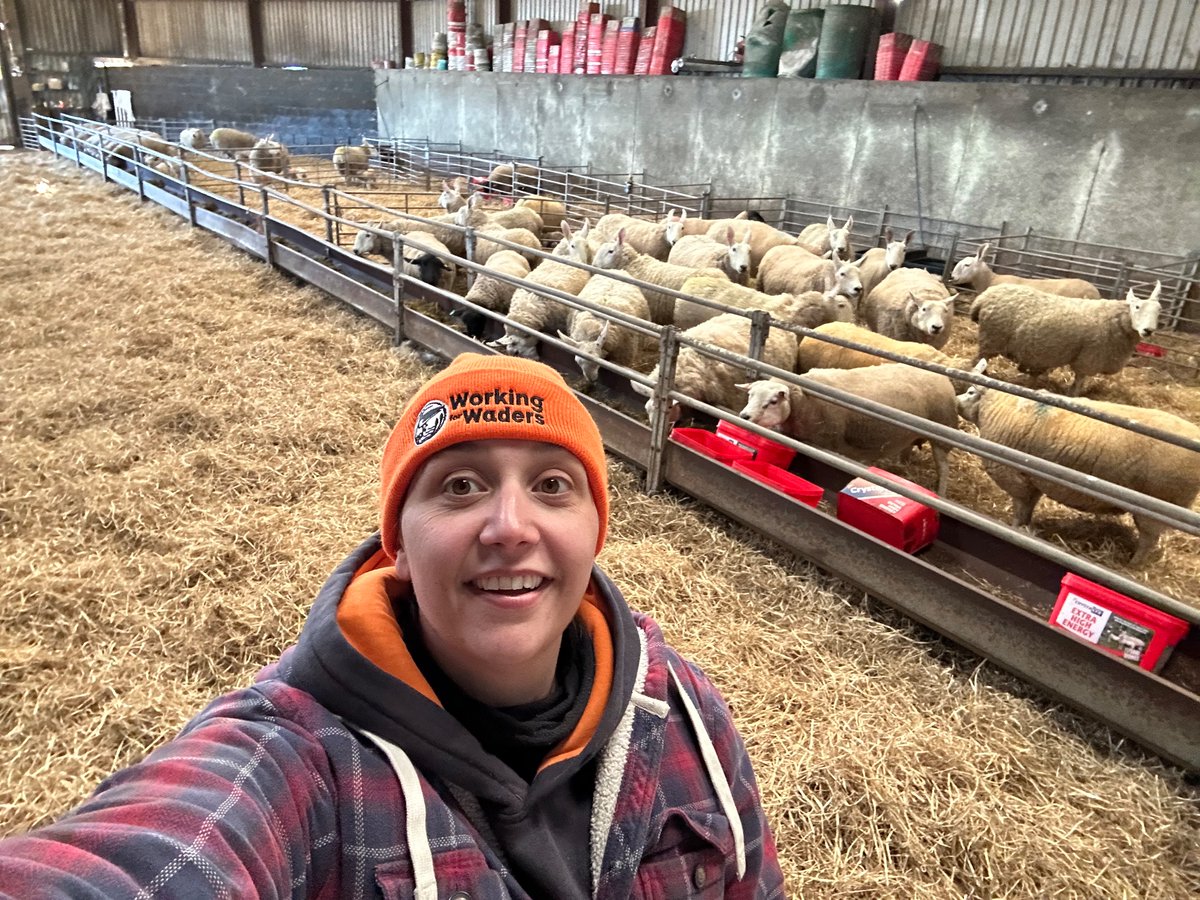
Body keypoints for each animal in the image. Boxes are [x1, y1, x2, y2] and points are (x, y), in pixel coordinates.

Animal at [738, 364, 959, 495]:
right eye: (750, 395)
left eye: (773, 401)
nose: (744, 416)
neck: (805, 403)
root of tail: (942, 377)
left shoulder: (827, 443)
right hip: (910, 433)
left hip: (943, 432)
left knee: (944, 467)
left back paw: (940, 493)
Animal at [955, 364, 1200, 564]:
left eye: (970, 392)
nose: (956, 402)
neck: (996, 407)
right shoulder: (1033, 478)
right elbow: (1029, 507)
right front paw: (1024, 528)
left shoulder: (1014, 477)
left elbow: (1020, 508)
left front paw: (1014, 528)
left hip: (1159, 506)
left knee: (1148, 541)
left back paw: (1132, 565)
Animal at [970, 281, 1162, 396]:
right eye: (1137, 307)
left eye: (1159, 310)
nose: (1148, 330)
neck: (1116, 320)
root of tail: (984, 297)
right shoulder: (1088, 360)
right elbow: (1078, 384)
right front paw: (1072, 396)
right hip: (991, 338)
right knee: (978, 360)